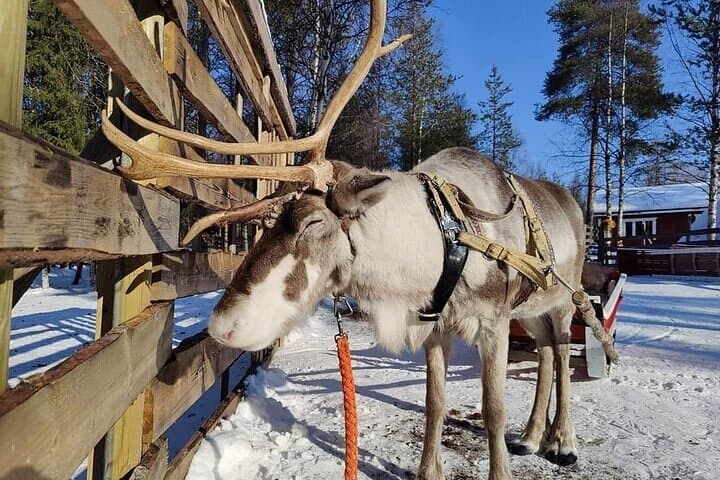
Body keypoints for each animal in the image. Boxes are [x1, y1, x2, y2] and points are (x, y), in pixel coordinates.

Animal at [101, 1, 617, 478]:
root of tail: (573, 205)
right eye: (270, 221)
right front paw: (429, 470)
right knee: (547, 350)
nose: (222, 326)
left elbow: (492, 411)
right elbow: (434, 402)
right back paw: (531, 436)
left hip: (563, 298)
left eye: (312, 223)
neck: (437, 245)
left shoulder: (492, 322)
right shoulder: (437, 327)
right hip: (531, 309)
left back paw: (562, 441)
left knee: (563, 352)